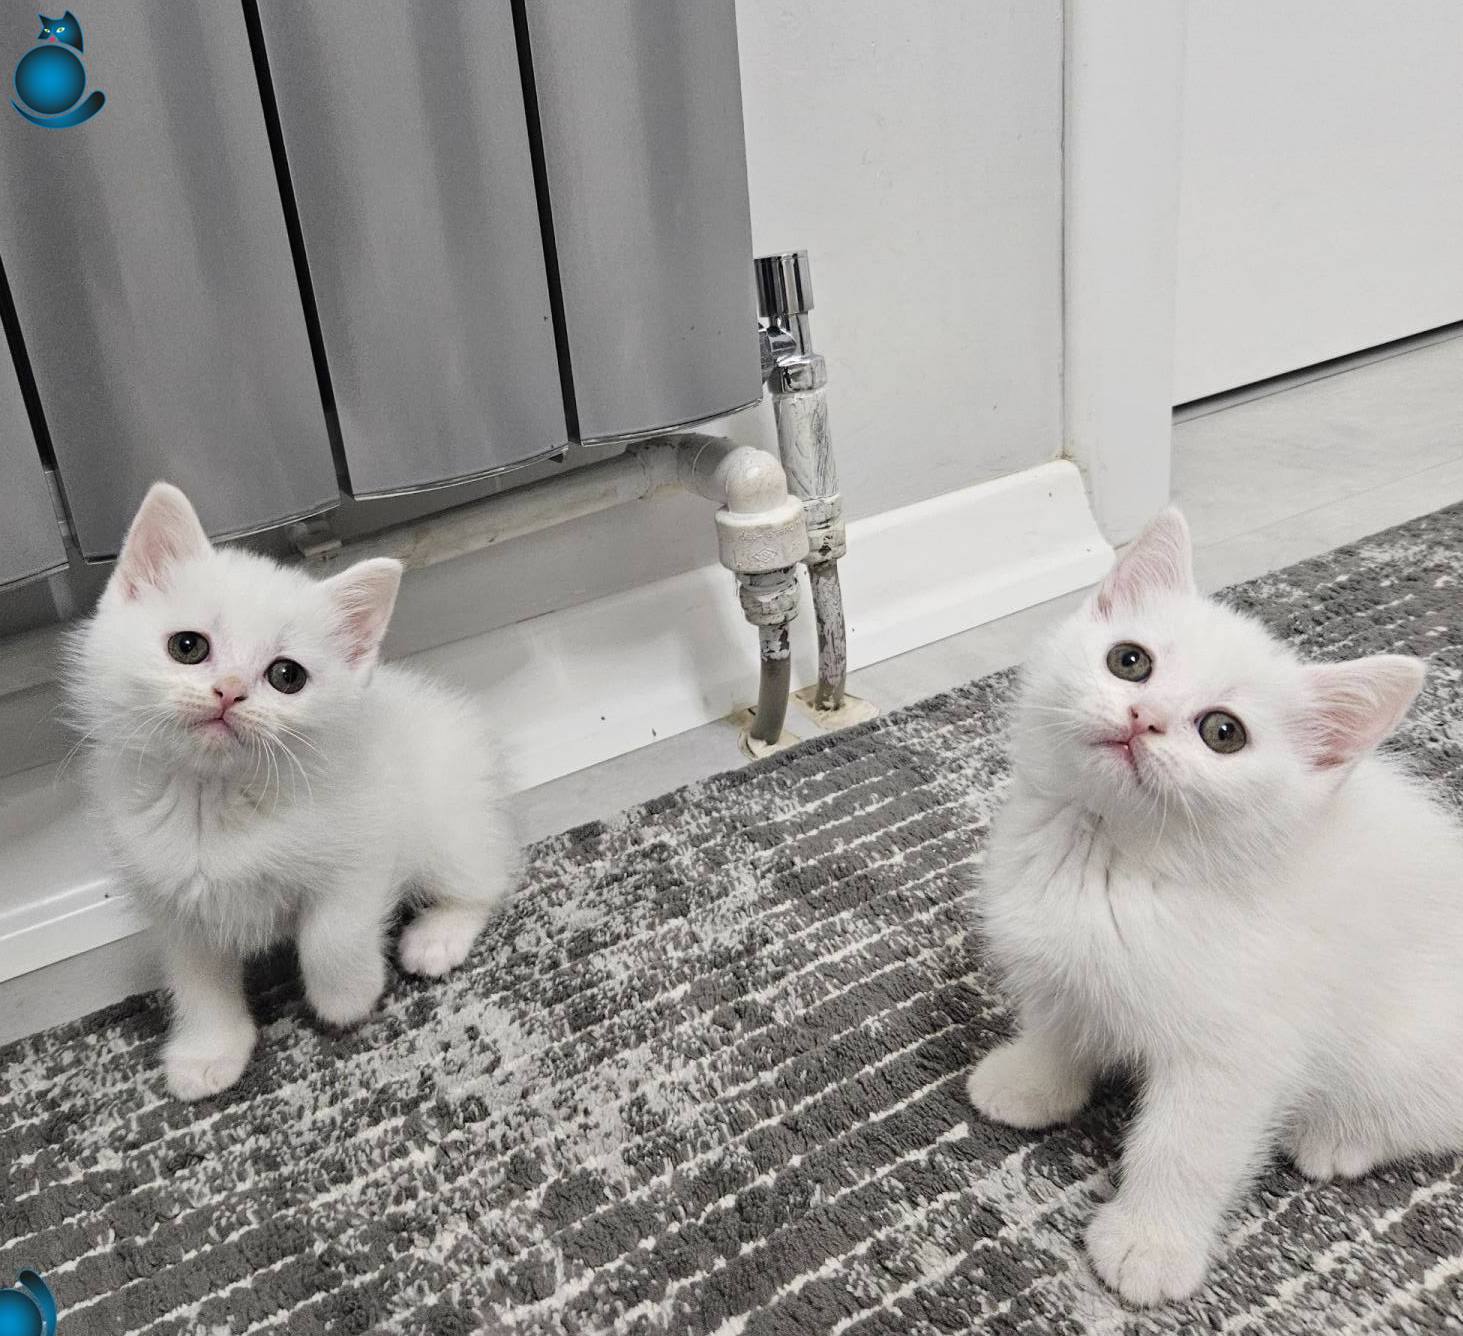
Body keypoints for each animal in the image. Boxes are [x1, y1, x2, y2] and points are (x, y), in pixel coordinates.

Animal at [69, 483, 518, 1101]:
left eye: (287, 676)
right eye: (187, 646)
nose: (229, 691)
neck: (218, 801)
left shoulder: (364, 847)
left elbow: (331, 935)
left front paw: (347, 997)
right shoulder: (174, 899)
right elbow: (196, 978)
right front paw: (210, 1052)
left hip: (449, 818)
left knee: (488, 876)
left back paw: (437, 936)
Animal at [966, 507, 1463, 1306]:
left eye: (1222, 732)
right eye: (1129, 661)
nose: (1143, 715)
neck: (1109, 858)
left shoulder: (1238, 1051)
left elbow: (1187, 1147)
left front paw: (1149, 1245)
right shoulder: (1062, 964)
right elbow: (1060, 1020)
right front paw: (1032, 1083)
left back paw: (1339, 1140)